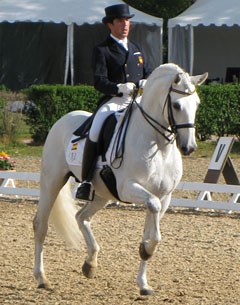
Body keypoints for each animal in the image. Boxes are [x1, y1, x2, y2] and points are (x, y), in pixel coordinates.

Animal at [32, 63, 207, 294]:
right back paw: (41, 278)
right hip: (52, 181)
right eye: (177, 105)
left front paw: (143, 281)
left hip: (101, 194)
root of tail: (65, 117)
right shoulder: (130, 188)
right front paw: (146, 251)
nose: (189, 147)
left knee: (81, 217)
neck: (157, 146)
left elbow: (151, 231)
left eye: (196, 104)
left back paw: (90, 264)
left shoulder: (164, 197)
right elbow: (153, 219)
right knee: (40, 225)